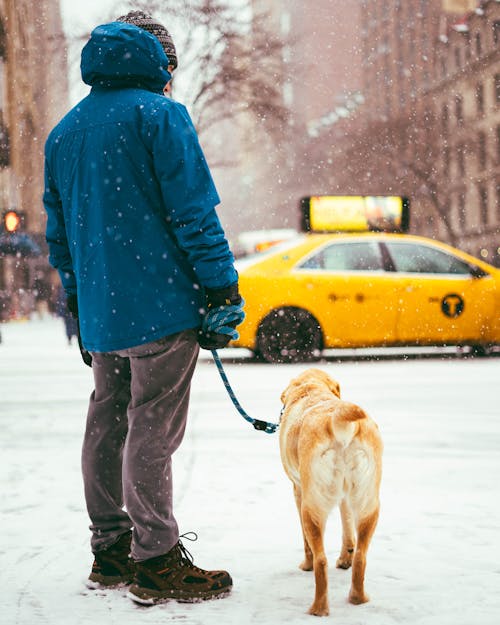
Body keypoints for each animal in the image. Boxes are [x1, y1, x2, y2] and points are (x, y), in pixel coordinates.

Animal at [278, 366, 382, 616]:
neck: (311, 391)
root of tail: (338, 419)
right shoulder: (345, 497)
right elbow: (347, 528)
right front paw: (345, 558)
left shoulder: (298, 491)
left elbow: (306, 543)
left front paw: (305, 565)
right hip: (369, 504)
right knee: (361, 556)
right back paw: (357, 598)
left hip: (312, 508)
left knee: (321, 560)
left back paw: (318, 609)